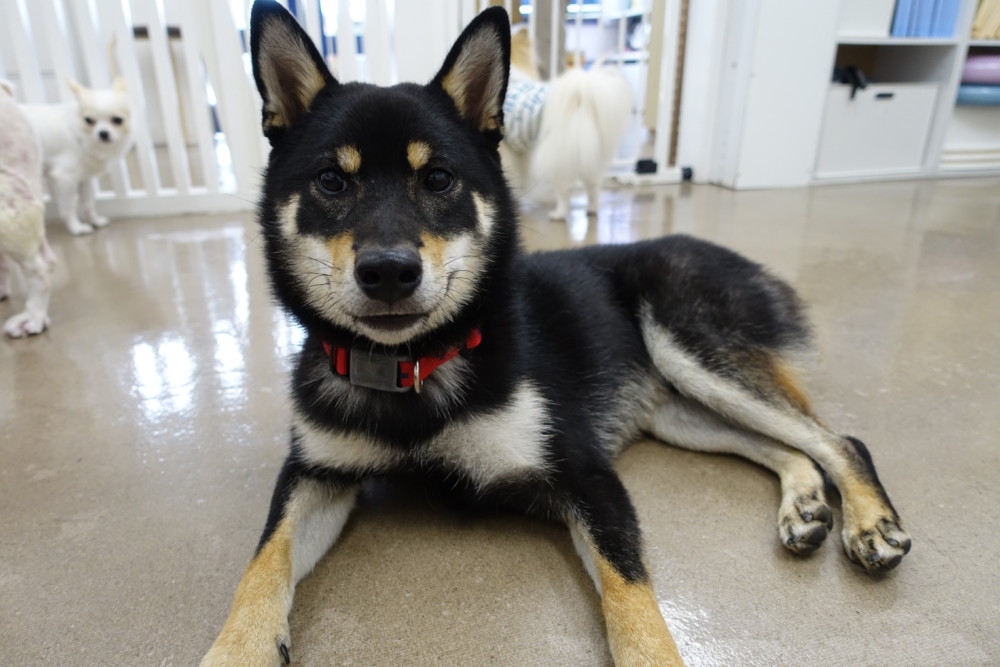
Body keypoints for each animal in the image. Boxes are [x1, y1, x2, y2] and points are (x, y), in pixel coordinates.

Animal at [22, 76, 132, 236]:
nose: (103, 133)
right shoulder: (65, 179)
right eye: (89, 120)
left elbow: (88, 203)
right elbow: (70, 206)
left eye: (117, 120)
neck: (81, 137)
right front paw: (76, 227)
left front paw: (95, 221)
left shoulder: (84, 178)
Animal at [501, 29, 632, 220]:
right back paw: (592, 209)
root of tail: (582, 100)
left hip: (557, 160)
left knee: (565, 190)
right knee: (593, 185)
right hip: (589, 158)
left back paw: (558, 214)